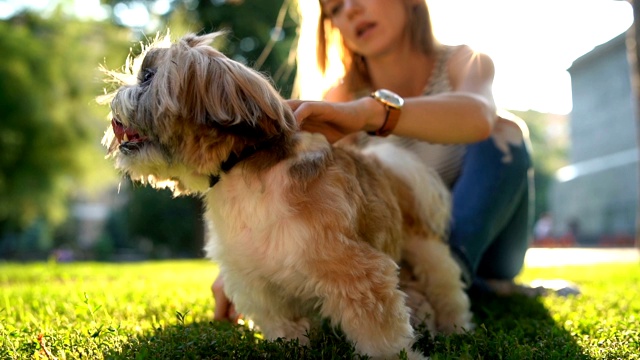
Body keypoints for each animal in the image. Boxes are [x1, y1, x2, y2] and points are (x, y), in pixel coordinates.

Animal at [100, 32, 470, 358]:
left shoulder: (356, 270)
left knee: (446, 290)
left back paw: (455, 328)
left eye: (148, 76)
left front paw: (394, 355)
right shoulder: (257, 280)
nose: (116, 93)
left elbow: (380, 333)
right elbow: (284, 325)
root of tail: (387, 166)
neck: (240, 171)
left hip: (424, 250)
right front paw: (291, 346)